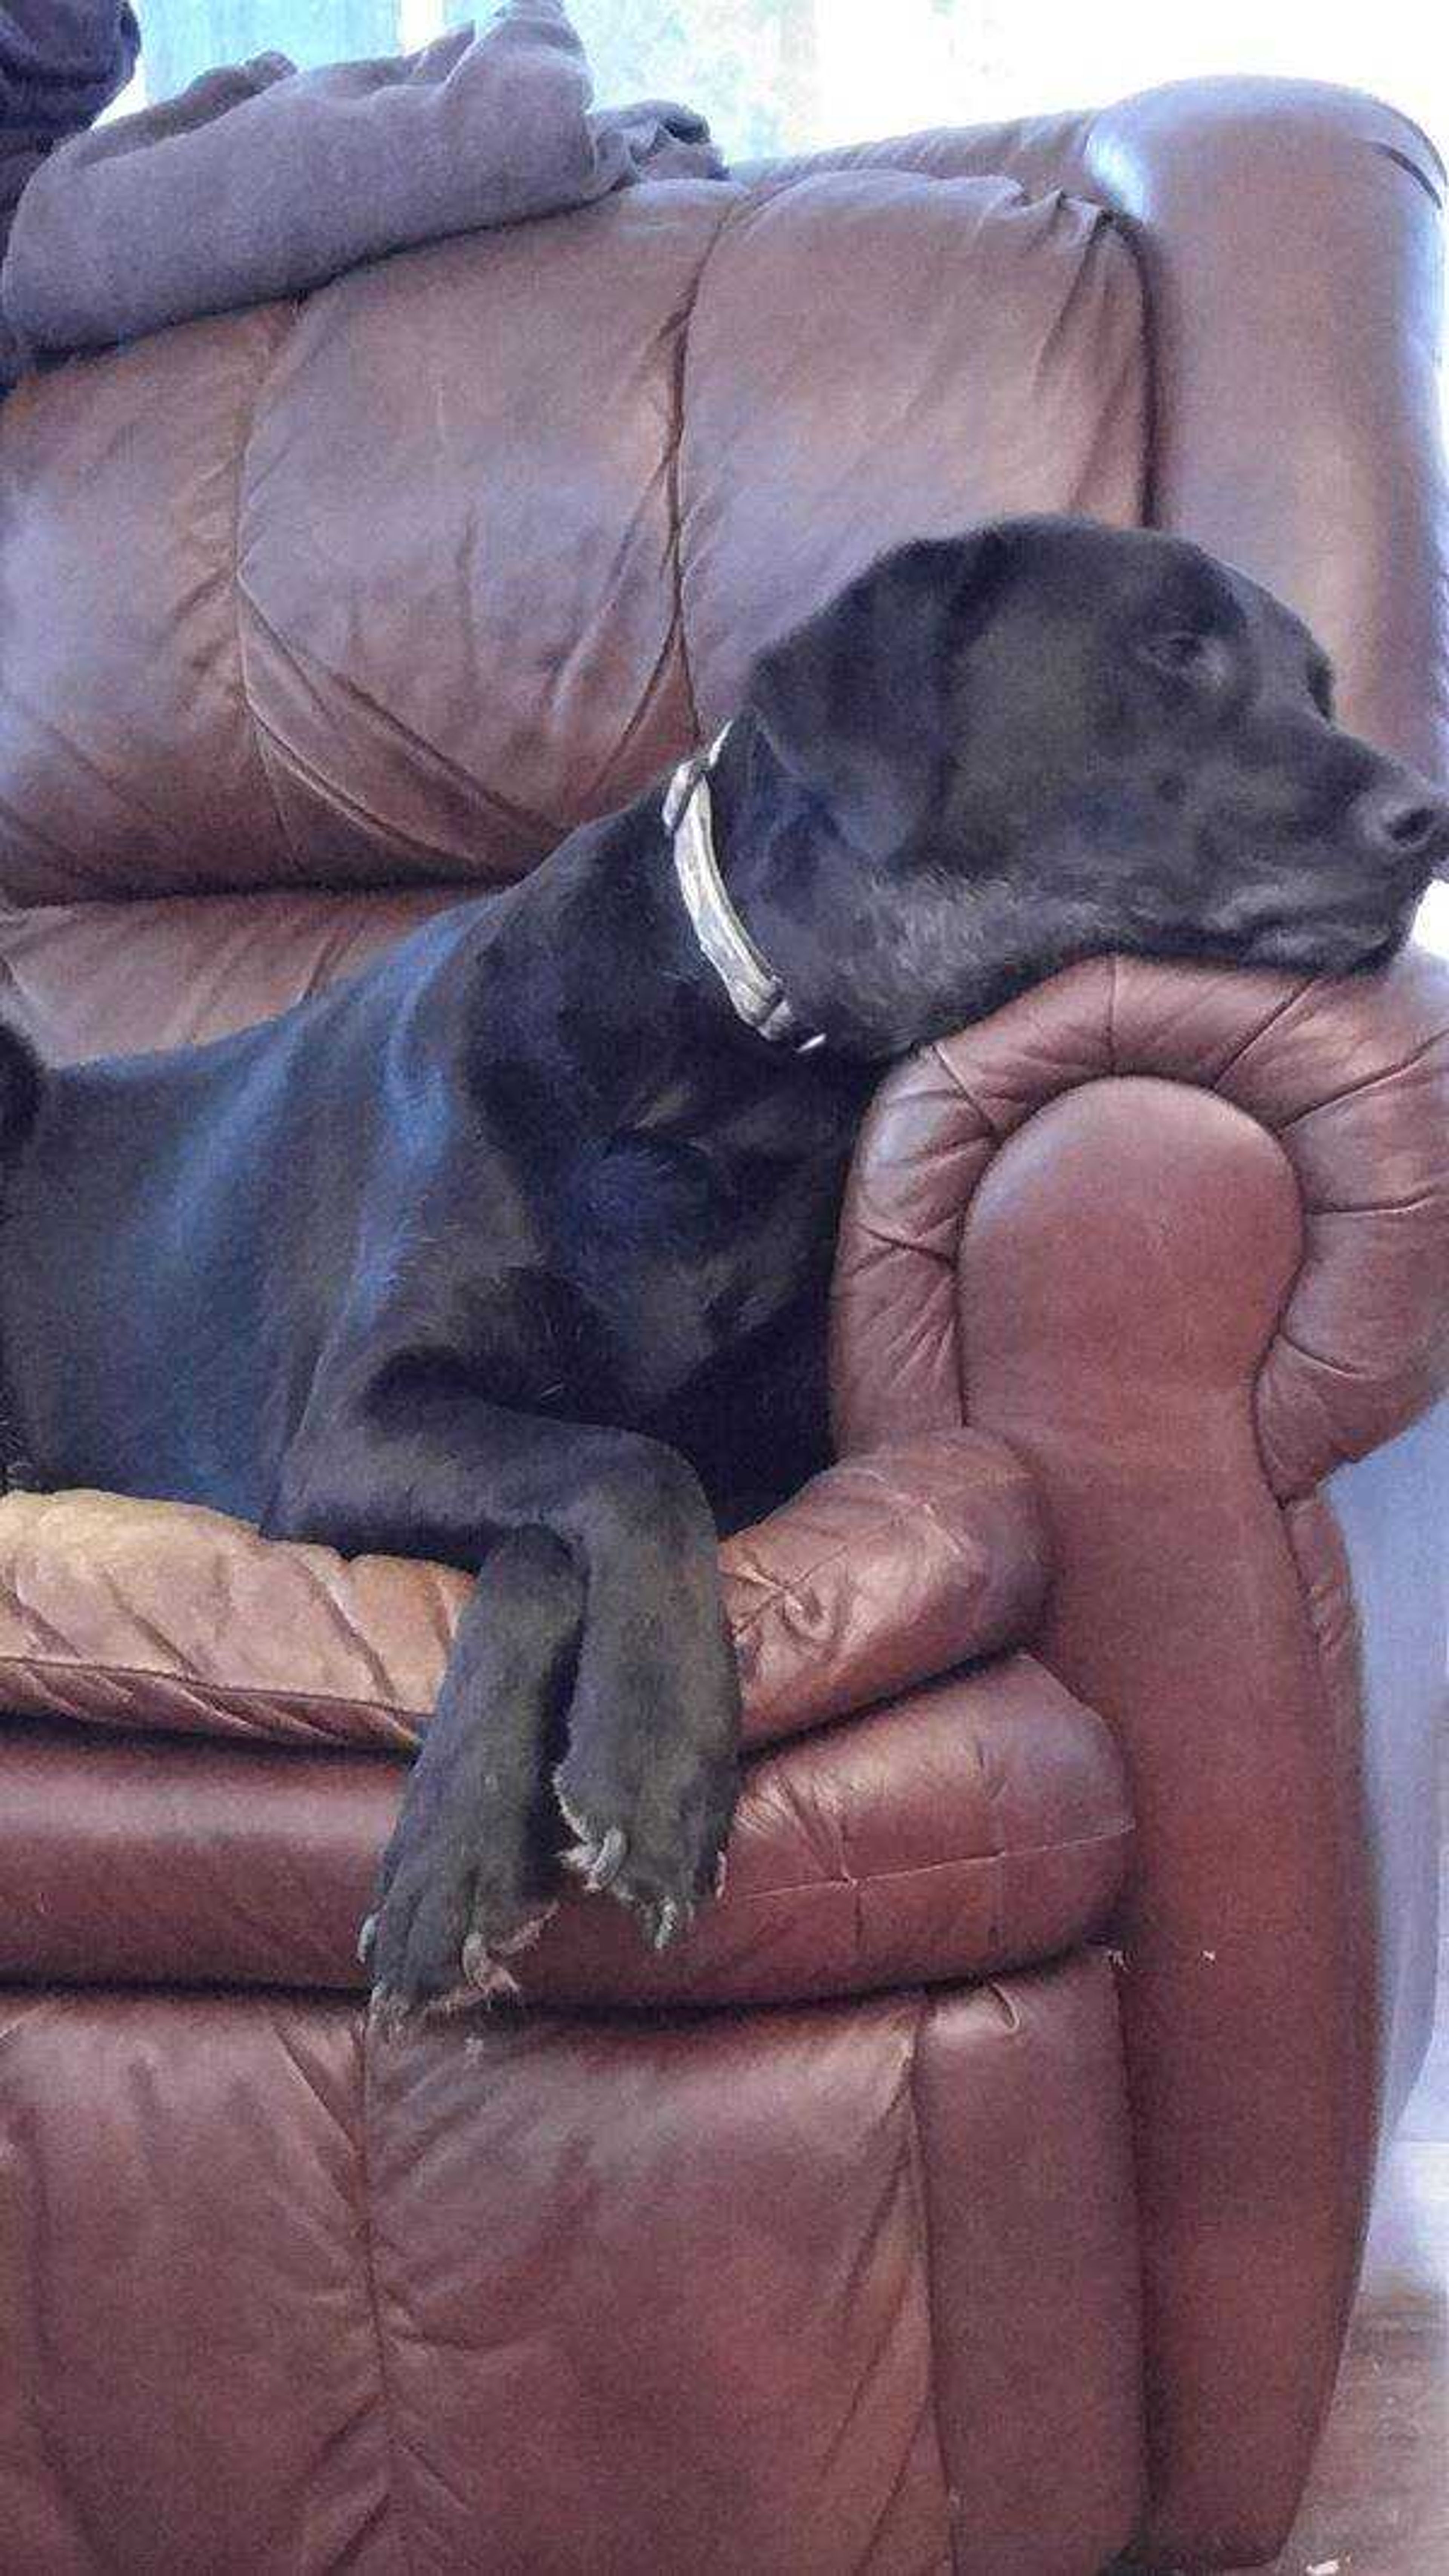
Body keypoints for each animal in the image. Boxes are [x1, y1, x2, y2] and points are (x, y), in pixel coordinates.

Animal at [0, 518, 1434, 2009]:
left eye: (1317, 685)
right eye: (1173, 649)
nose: (1427, 818)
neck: (724, 1064)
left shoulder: (763, 1455)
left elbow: (596, 1497)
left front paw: (587, 1780)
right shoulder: (353, 1425)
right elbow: (620, 1465)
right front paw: (587, 1784)